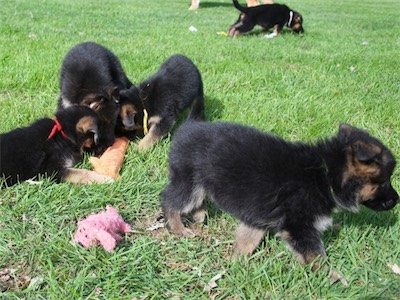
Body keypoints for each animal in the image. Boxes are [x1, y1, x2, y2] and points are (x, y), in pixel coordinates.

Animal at [161, 121, 398, 284]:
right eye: (385, 181)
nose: (397, 200)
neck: (326, 174)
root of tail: (186, 128)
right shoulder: (299, 226)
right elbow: (316, 255)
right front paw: (331, 278)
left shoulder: (257, 216)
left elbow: (248, 239)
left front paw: (237, 264)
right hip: (190, 181)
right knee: (169, 200)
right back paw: (178, 228)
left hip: (199, 182)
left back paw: (199, 215)